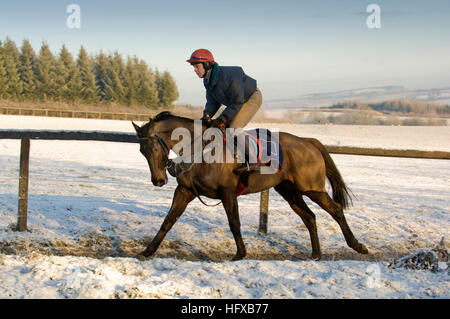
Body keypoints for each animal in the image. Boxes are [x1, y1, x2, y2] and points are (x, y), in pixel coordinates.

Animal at [131, 111, 370, 262]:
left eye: (154, 147)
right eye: (142, 150)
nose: (158, 180)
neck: (199, 149)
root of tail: (308, 141)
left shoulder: (227, 192)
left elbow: (234, 223)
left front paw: (240, 253)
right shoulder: (185, 191)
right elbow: (168, 221)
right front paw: (147, 251)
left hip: (312, 188)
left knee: (335, 209)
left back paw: (357, 245)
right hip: (289, 191)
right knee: (309, 217)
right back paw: (316, 254)